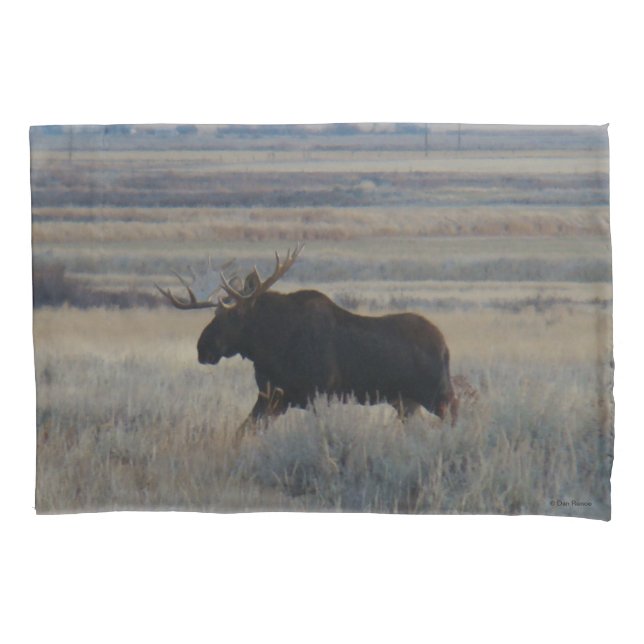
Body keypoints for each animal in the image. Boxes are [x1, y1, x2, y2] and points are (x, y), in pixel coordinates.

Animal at [156, 244, 457, 429]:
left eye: (235, 314)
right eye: (215, 313)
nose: (203, 348)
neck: (269, 348)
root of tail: (445, 346)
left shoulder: (317, 395)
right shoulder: (272, 398)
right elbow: (242, 432)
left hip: (437, 395)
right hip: (406, 402)